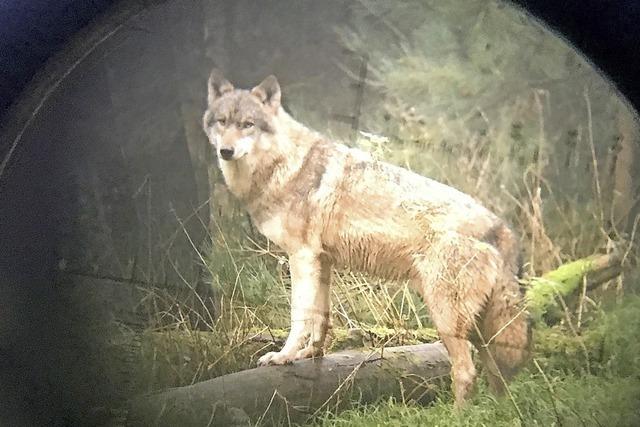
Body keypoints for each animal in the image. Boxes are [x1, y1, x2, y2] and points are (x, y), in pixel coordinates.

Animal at [201, 68, 528, 406]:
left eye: (247, 125)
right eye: (222, 121)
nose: (226, 151)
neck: (284, 164)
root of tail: (502, 228)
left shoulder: (301, 258)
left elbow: (299, 316)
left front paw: (283, 356)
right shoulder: (322, 261)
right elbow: (321, 317)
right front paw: (311, 355)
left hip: (446, 319)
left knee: (466, 372)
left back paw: (457, 414)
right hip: (479, 329)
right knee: (497, 375)